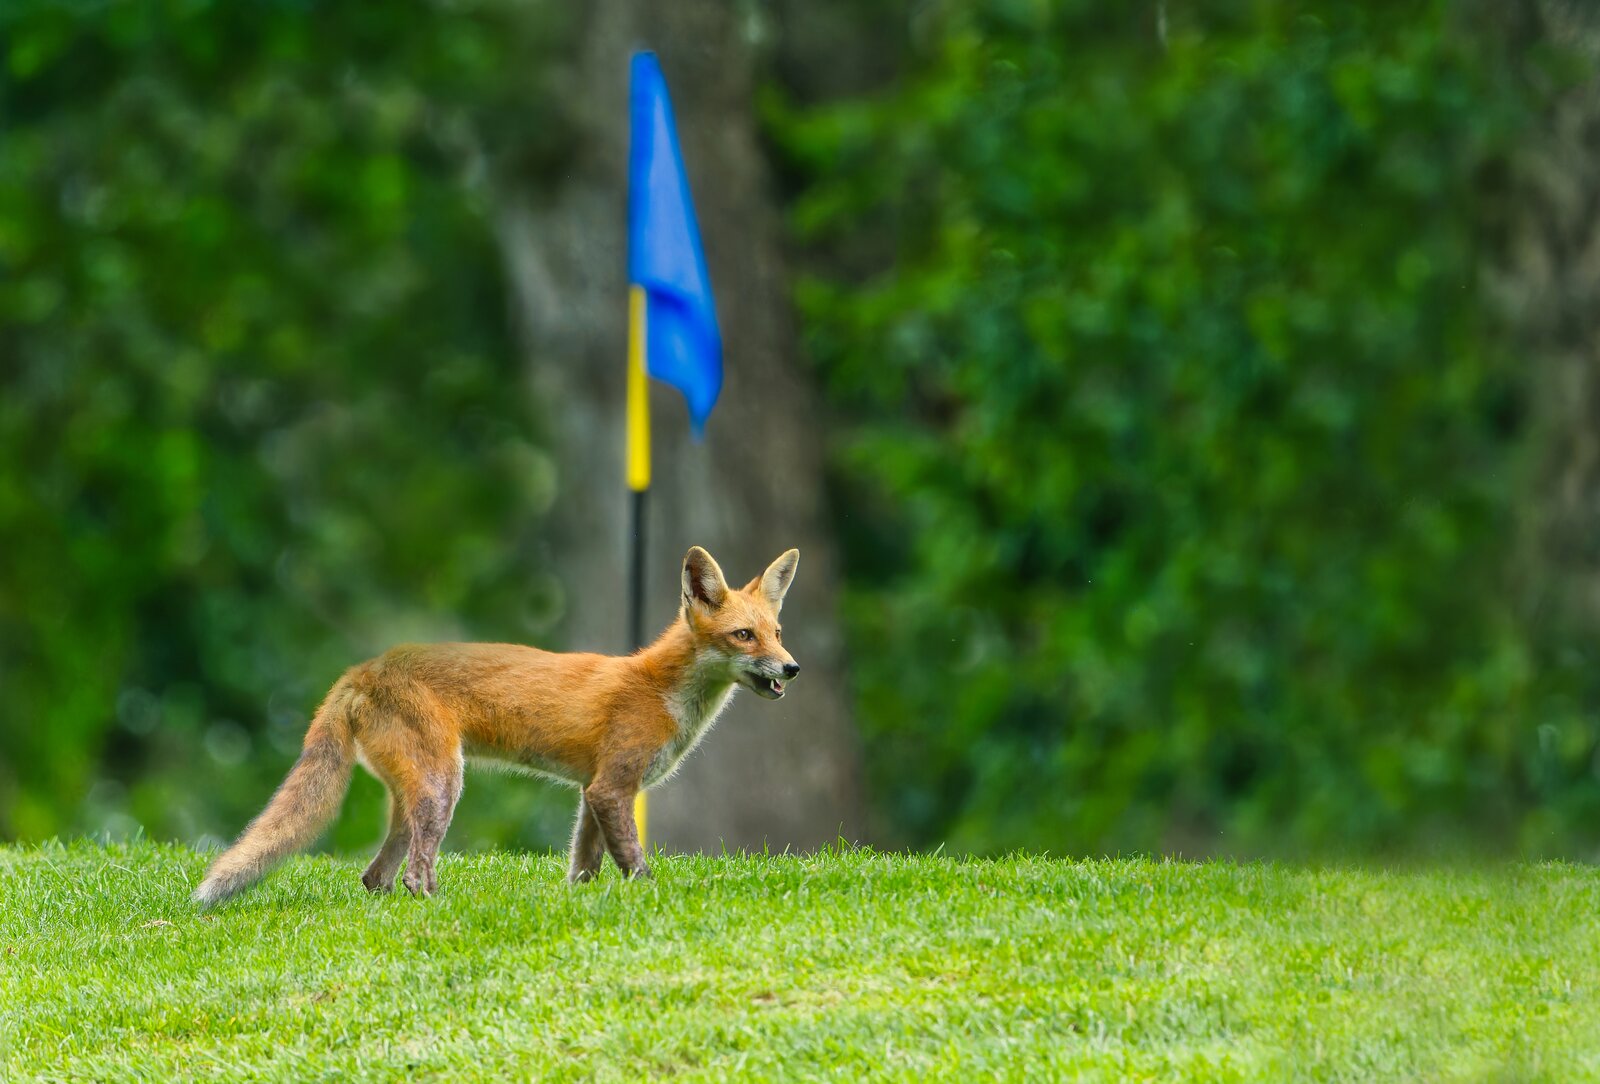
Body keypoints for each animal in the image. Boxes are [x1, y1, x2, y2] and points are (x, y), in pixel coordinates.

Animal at [192, 545, 801, 905]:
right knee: (413, 874)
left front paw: (582, 905)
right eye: (744, 636)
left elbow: (584, 865)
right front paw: (649, 899)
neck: (659, 688)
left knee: (376, 877)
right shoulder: (613, 787)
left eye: (776, 632)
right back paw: (436, 908)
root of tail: (363, 669)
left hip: (412, 799)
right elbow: (632, 860)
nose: (793, 668)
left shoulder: (592, 791)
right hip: (443, 787)